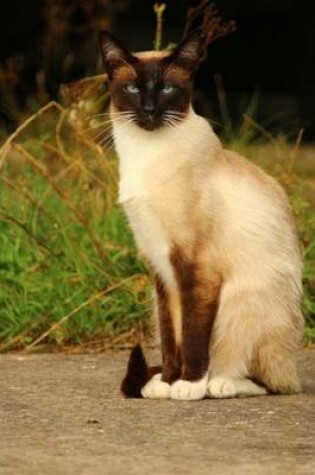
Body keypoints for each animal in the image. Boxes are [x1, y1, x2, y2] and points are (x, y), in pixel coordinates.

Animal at [99, 29, 306, 400]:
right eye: (133, 88)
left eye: (167, 89)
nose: (149, 110)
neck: (145, 155)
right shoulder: (161, 268)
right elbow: (172, 337)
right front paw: (168, 383)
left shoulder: (196, 267)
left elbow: (194, 335)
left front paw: (189, 386)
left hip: (238, 303)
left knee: (269, 383)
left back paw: (218, 384)